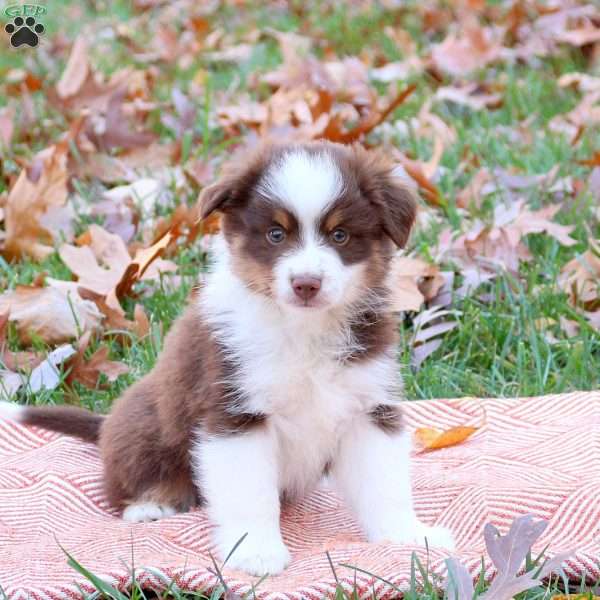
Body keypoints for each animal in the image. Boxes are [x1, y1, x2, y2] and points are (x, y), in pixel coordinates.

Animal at [0, 142, 452, 576]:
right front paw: (257, 552)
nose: (306, 283)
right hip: (146, 425)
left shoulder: (367, 406)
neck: (302, 330)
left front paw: (406, 535)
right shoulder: (235, 414)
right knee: (123, 478)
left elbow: (384, 484)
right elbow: (251, 495)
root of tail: (105, 423)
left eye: (340, 235)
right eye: (275, 234)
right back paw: (150, 504)